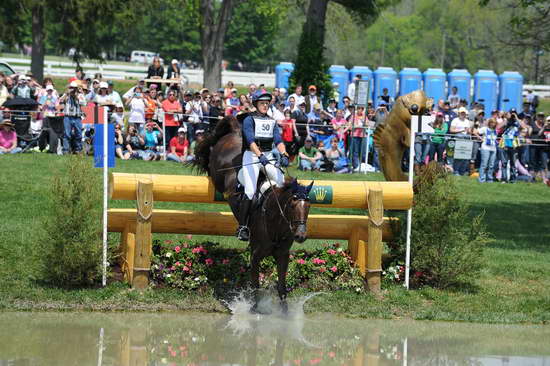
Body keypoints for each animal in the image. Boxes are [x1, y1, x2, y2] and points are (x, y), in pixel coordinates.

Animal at [193, 115, 314, 312]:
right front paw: (254, 311)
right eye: (291, 205)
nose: (301, 235)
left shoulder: (283, 255)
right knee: (210, 159)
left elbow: (282, 287)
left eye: (309, 206)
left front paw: (285, 315)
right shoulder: (256, 254)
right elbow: (255, 285)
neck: (275, 222)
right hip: (219, 168)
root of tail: (236, 132)